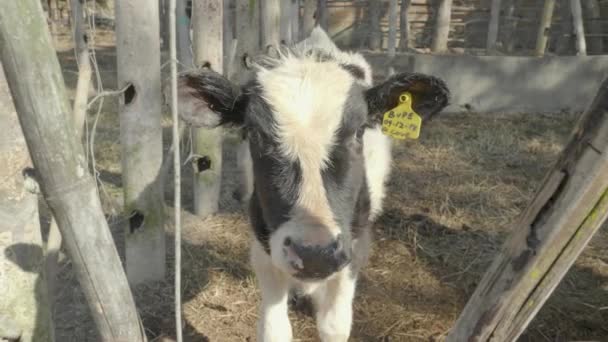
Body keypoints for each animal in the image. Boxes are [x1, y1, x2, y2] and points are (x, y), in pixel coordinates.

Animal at [176, 27, 446, 342]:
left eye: (358, 131)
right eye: (254, 134)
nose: (314, 253)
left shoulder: (355, 244)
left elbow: (334, 325)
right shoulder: (263, 242)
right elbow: (274, 329)